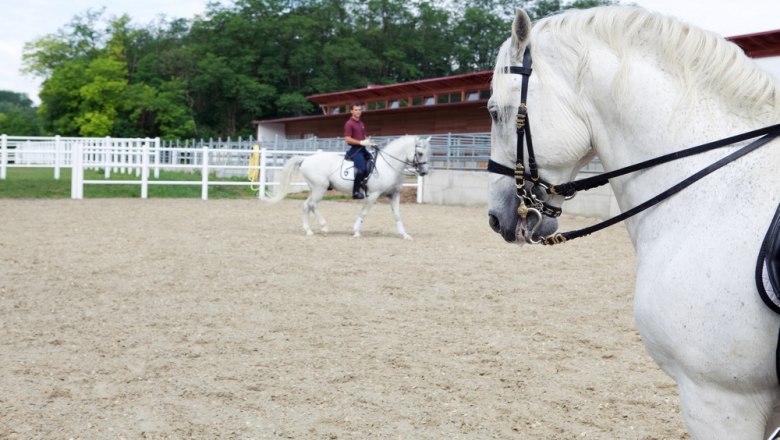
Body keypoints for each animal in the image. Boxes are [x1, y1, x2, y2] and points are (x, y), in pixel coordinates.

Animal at [266, 136, 430, 239]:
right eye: (420, 153)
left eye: (428, 153)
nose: (424, 172)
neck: (388, 166)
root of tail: (306, 159)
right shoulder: (374, 195)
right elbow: (364, 212)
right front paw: (356, 231)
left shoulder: (394, 194)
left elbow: (397, 215)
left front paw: (404, 234)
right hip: (320, 188)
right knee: (312, 205)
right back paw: (324, 227)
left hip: (314, 189)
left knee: (306, 205)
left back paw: (309, 231)